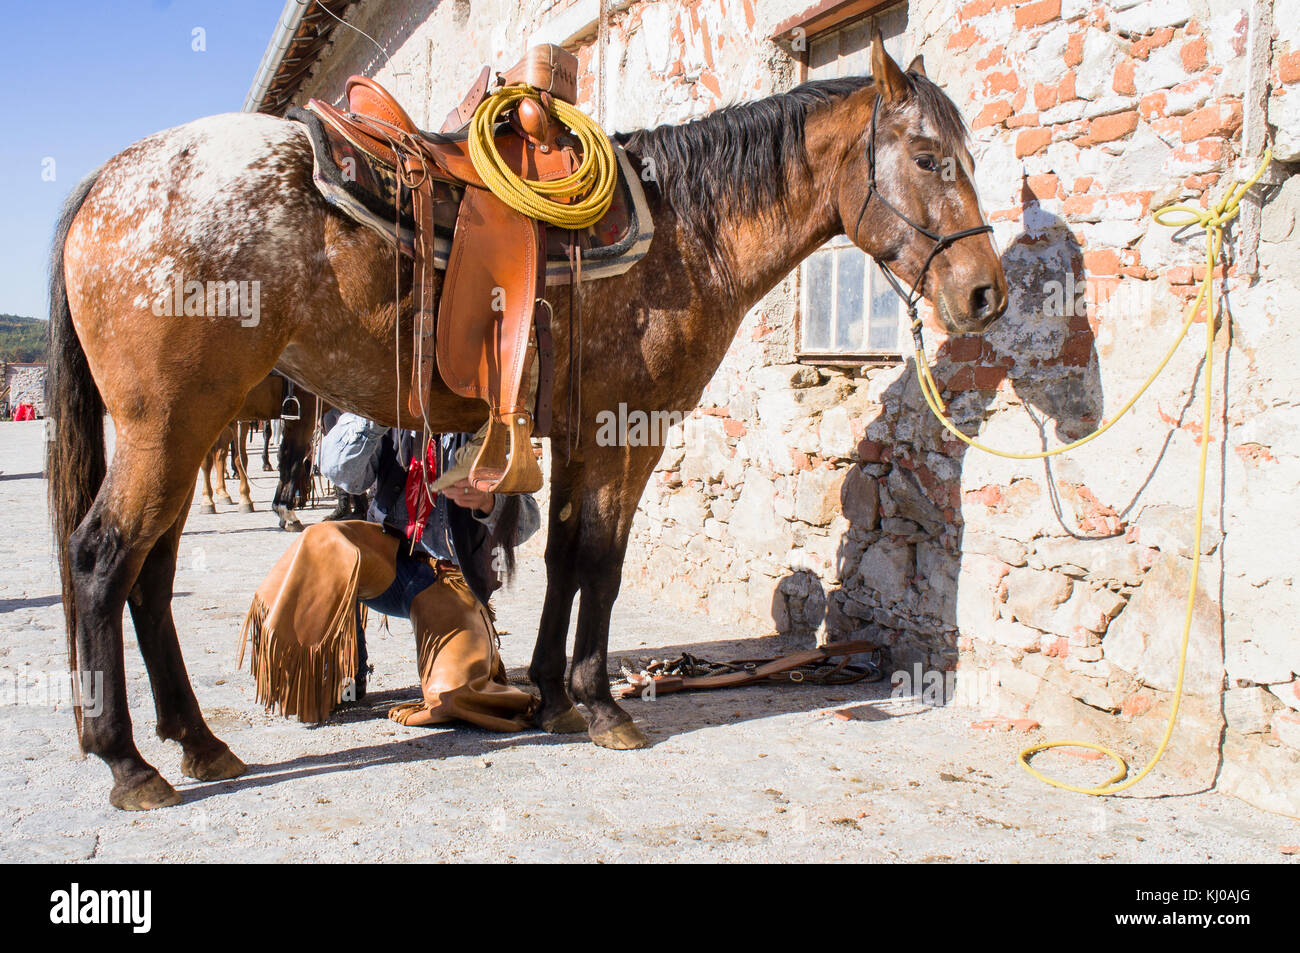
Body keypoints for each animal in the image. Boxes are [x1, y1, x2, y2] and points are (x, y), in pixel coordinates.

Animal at [46, 37, 1006, 809]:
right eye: (929, 157)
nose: (984, 293)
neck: (687, 232)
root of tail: (113, 176)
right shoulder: (626, 431)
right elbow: (601, 565)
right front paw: (603, 703)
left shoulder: (582, 435)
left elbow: (565, 556)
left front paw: (550, 695)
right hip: (170, 427)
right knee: (102, 560)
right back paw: (129, 762)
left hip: (187, 430)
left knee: (150, 575)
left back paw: (199, 743)